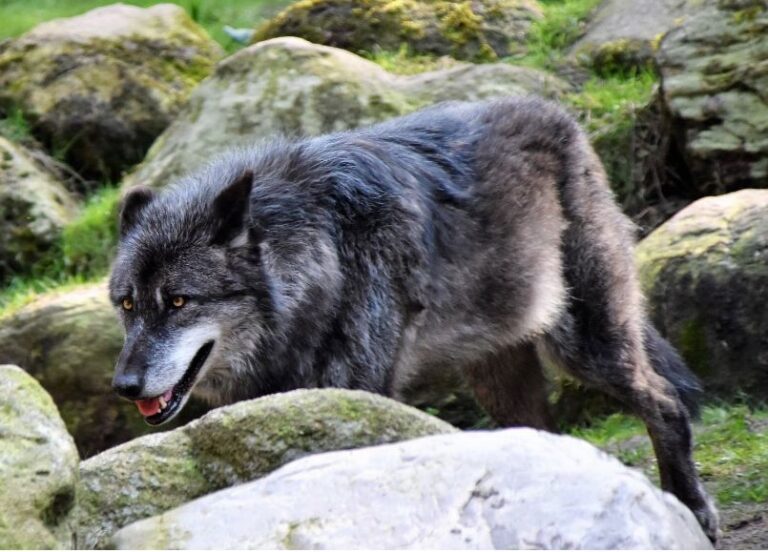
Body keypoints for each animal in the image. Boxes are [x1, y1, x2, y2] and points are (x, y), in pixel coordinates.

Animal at [109, 97, 718, 540]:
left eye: (179, 302)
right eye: (128, 304)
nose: (124, 385)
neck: (322, 258)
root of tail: (559, 115)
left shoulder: (357, 393)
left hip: (585, 344)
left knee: (664, 402)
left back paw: (692, 508)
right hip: (499, 378)